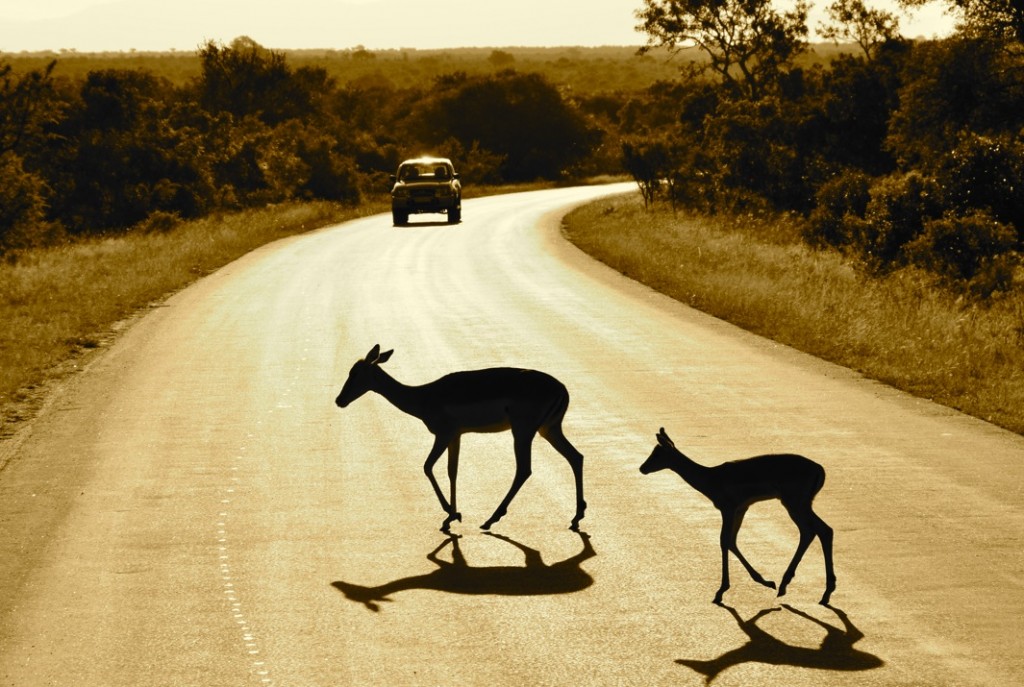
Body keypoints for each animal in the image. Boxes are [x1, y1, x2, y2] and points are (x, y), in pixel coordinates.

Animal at [335, 345, 586, 532]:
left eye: (355, 373)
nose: (339, 400)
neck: (423, 397)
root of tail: (562, 389)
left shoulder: (443, 434)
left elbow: (427, 466)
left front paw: (451, 513)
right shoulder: (456, 435)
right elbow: (452, 471)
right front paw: (453, 516)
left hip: (523, 431)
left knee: (524, 469)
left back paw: (490, 520)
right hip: (549, 430)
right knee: (576, 457)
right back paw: (576, 517)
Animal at [640, 428, 836, 605]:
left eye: (657, 453)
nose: (642, 468)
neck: (710, 481)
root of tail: (820, 470)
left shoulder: (728, 507)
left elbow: (724, 540)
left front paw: (720, 591)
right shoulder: (742, 508)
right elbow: (732, 541)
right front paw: (765, 581)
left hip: (796, 502)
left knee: (823, 529)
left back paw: (824, 593)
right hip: (796, 503)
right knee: (810, 531)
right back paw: (785, 586)